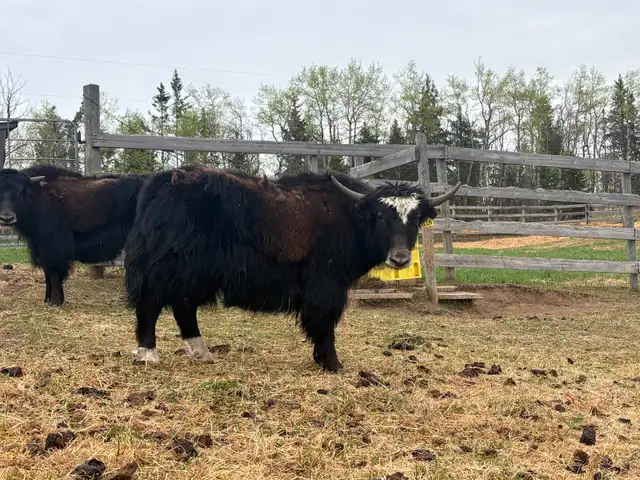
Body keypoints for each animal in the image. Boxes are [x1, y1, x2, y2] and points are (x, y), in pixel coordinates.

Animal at [0, 164, 147, 306]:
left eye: (20, 191)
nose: (7, 217)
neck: (37, 197)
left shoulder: (55, 250)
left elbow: (54, 274)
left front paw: (56, 301)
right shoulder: (43, 250)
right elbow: (47, 275)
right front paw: (47, 299)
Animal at [124, 165, 461, 372]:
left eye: (414, 218)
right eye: (380, 215)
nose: (401, 258)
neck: (351, 216)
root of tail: (159, 184)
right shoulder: (326, 282)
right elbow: (323, 320)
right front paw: (332, 363)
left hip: (192, 273)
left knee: (183, 306)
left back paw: (202, 353)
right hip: (174, 266)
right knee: (152, 302)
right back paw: (148, 354)